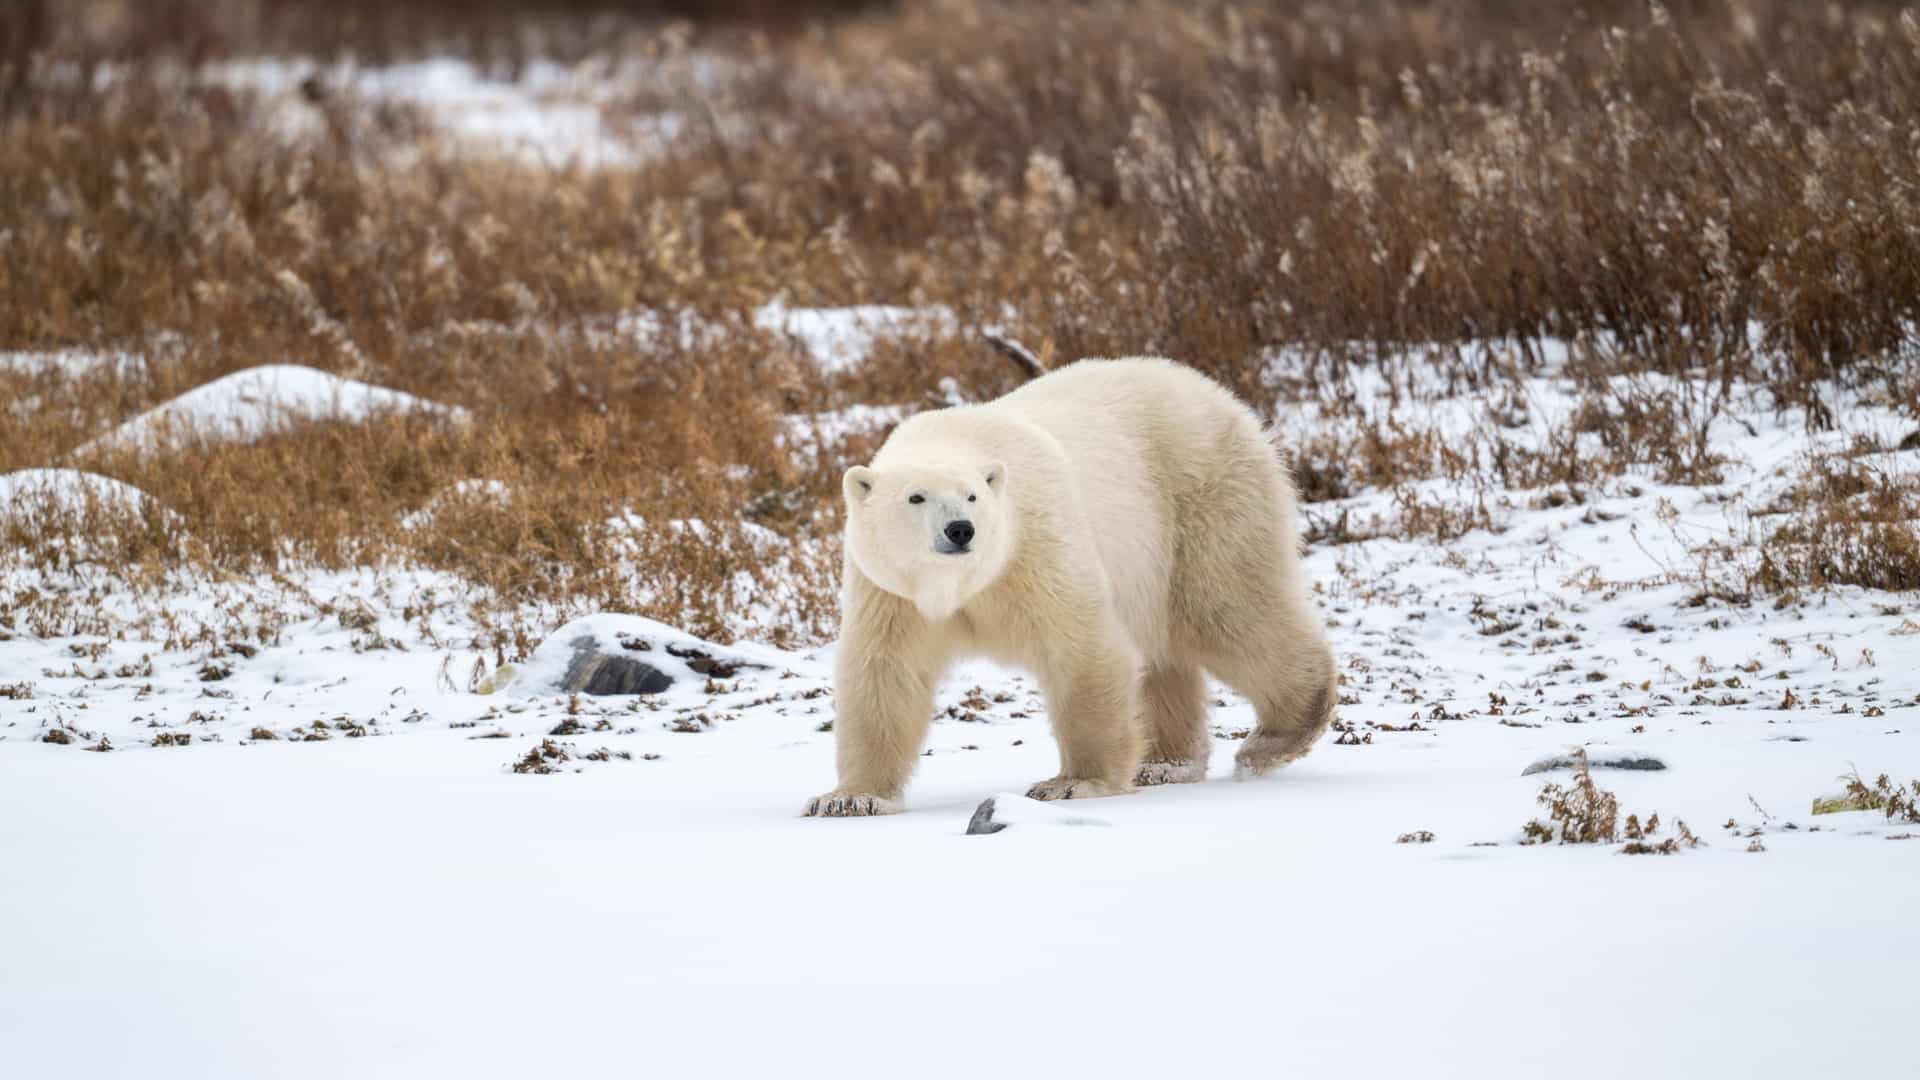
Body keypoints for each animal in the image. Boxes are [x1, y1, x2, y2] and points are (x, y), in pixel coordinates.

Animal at [804, 357, 1335, 817]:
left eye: (972, 496)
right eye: (916, 497)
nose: (960, 530)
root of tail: (1221, 397)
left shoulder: (1036, 544)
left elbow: (1081, 647)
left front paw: (1072, 783)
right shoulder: (890, 592)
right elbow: (885, 674)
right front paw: (849, 798)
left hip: (1203, 500)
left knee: (1226, 611)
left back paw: (1272, 738)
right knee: (1167, 653)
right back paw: (1165, 763)